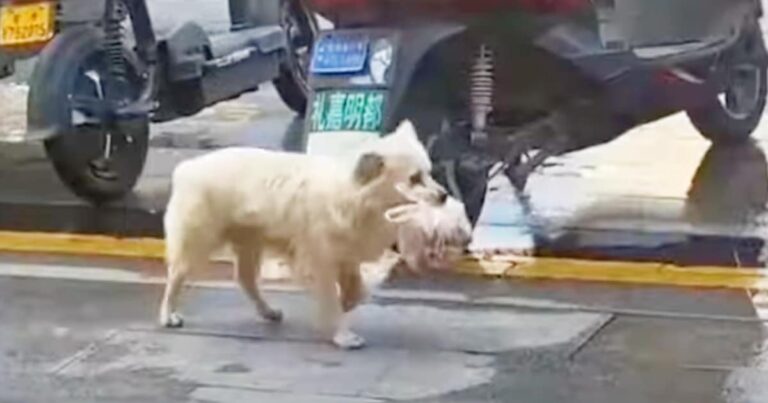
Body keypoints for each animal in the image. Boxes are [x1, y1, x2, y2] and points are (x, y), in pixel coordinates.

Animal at [158, 120, 456, 350]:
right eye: (414, 179)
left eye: (429, 173)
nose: (444, 195)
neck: (356, 196)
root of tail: (187, 167)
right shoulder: (319, 259)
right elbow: (331, 298)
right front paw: (342, 334)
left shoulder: (345, 254)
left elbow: (356, 289)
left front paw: (347, 303)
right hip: (197, 239)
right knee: (176, 276)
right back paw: (167, 315)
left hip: (250, 240)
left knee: (245, 279)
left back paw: (267, 311)